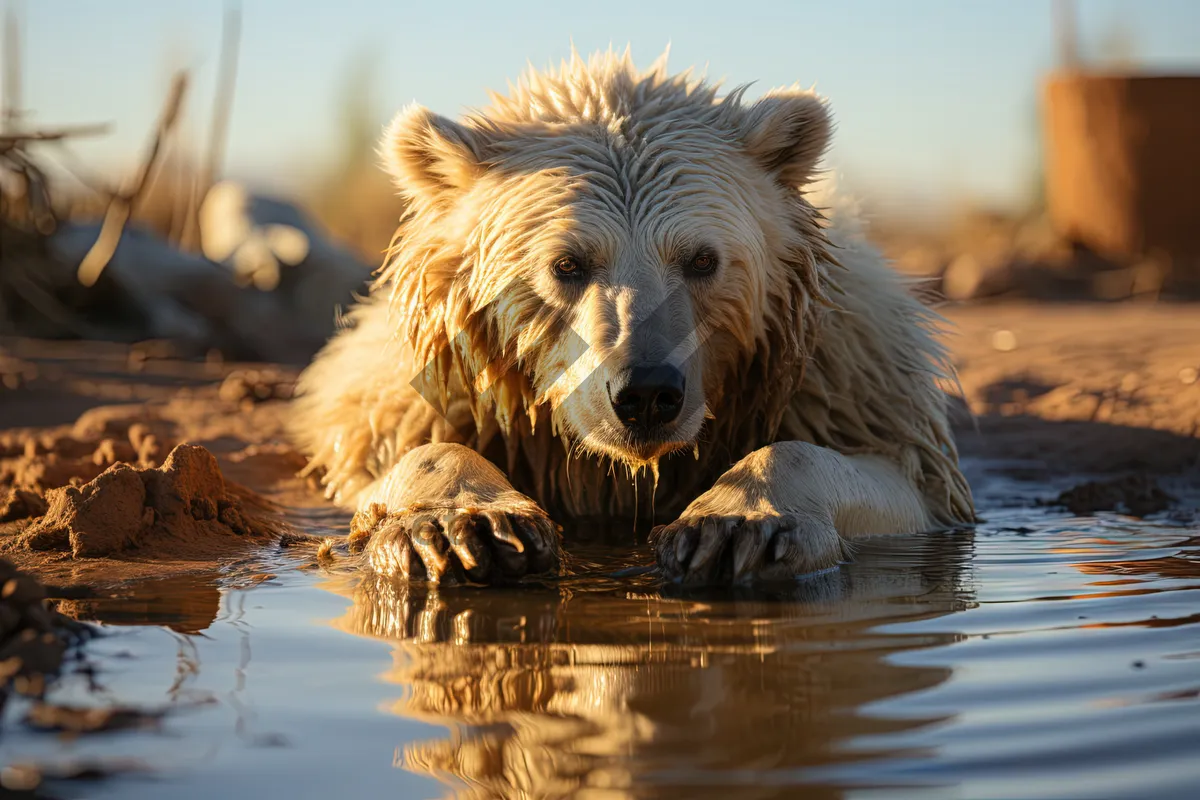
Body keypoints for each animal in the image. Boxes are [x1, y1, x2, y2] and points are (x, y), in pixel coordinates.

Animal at [290, 51, 974, 587]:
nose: (646, 395)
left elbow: (901, 474)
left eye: (702, 259)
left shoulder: (843, 370)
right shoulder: (422, 392)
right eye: (566, 262)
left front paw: (734, 525)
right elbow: (402, 455)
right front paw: (471, 526)